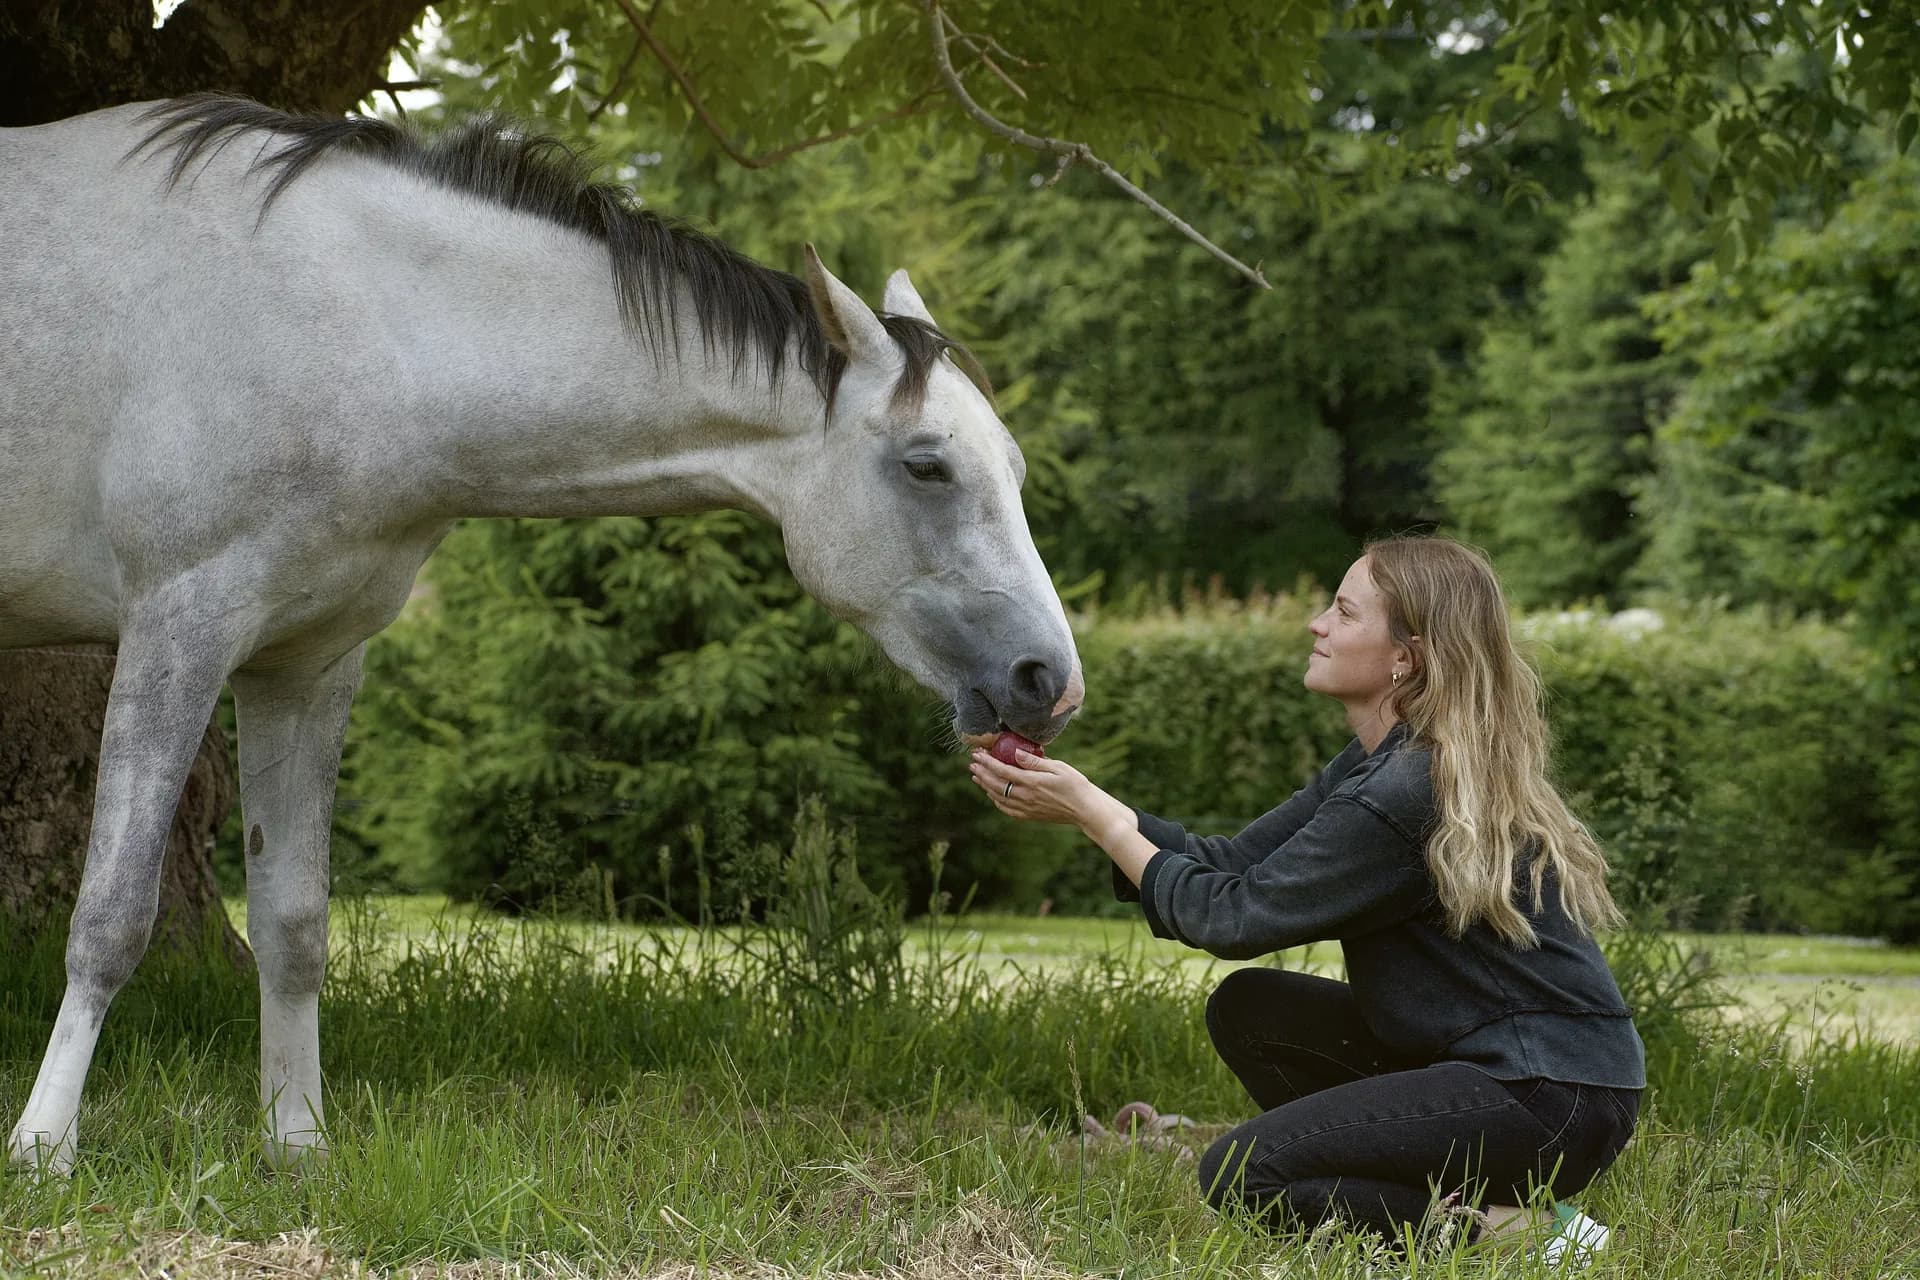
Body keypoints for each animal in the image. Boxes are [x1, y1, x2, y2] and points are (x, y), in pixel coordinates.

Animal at [0, 94, 1083, 1174]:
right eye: (927, 465)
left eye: (1015, 466)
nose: (1049, 680)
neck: (349, 325)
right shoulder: (178, 629)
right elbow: (111, 915)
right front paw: (44, 1149)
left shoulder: (306, 665)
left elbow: (294, 922)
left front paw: (299, 1144)